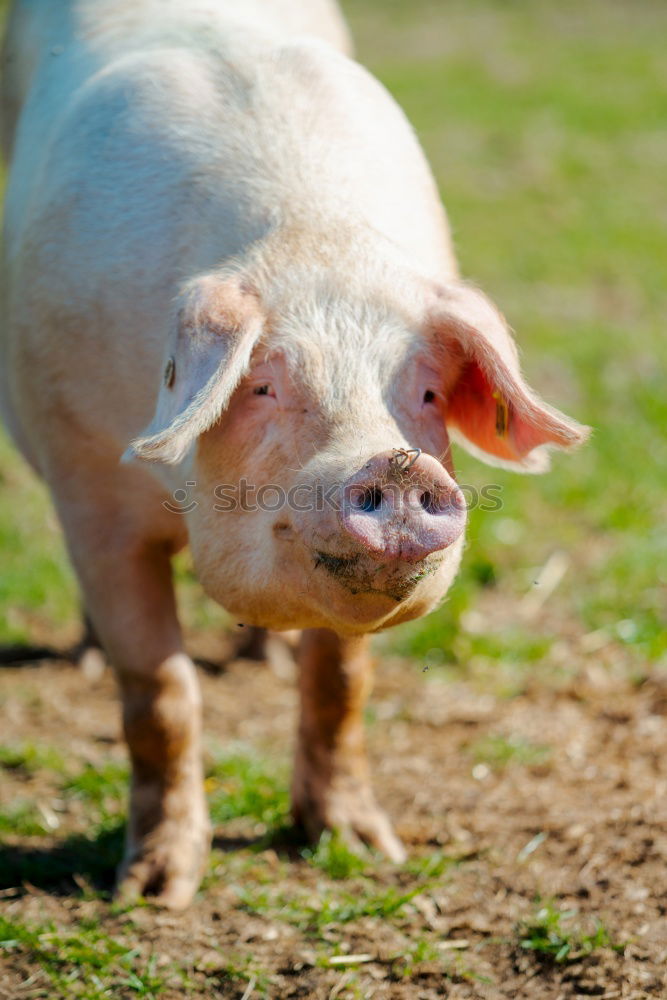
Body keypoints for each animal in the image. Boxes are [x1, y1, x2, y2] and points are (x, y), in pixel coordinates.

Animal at [0, 0, 584, 908]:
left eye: (424, 393)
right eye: (264, 387)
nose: (397, 466)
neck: (311, 240)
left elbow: (342, 682)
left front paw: (362, 848)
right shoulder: (86, 481)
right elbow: (159, 691)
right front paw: (154, 891)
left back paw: (264, 660)